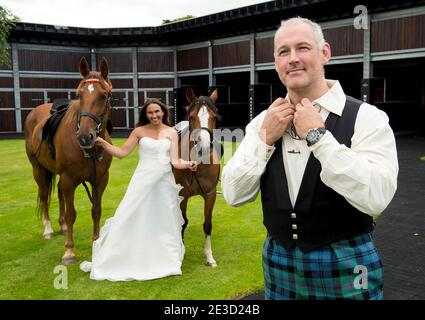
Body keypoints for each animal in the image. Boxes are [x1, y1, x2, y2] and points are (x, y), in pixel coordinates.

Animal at [24, 56, 112, 264]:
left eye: (103, 95)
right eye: (79, 95)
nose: (85, 136)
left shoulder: (100, 179)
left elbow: (96, 210)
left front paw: (96, 242)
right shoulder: (69, 179)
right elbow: (72, 214)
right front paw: (69, 252)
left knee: (58, 192)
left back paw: (62, 226)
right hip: (38, 169)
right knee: (44, 194)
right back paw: (48, 229)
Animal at [171, 86, 220, 266]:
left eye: (215, 117)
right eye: (191, 117)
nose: (204, 147)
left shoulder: (210, 194)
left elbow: (207, 224)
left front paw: (209, 257)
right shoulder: (182, 194)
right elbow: (182, 222)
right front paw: (180, 253)